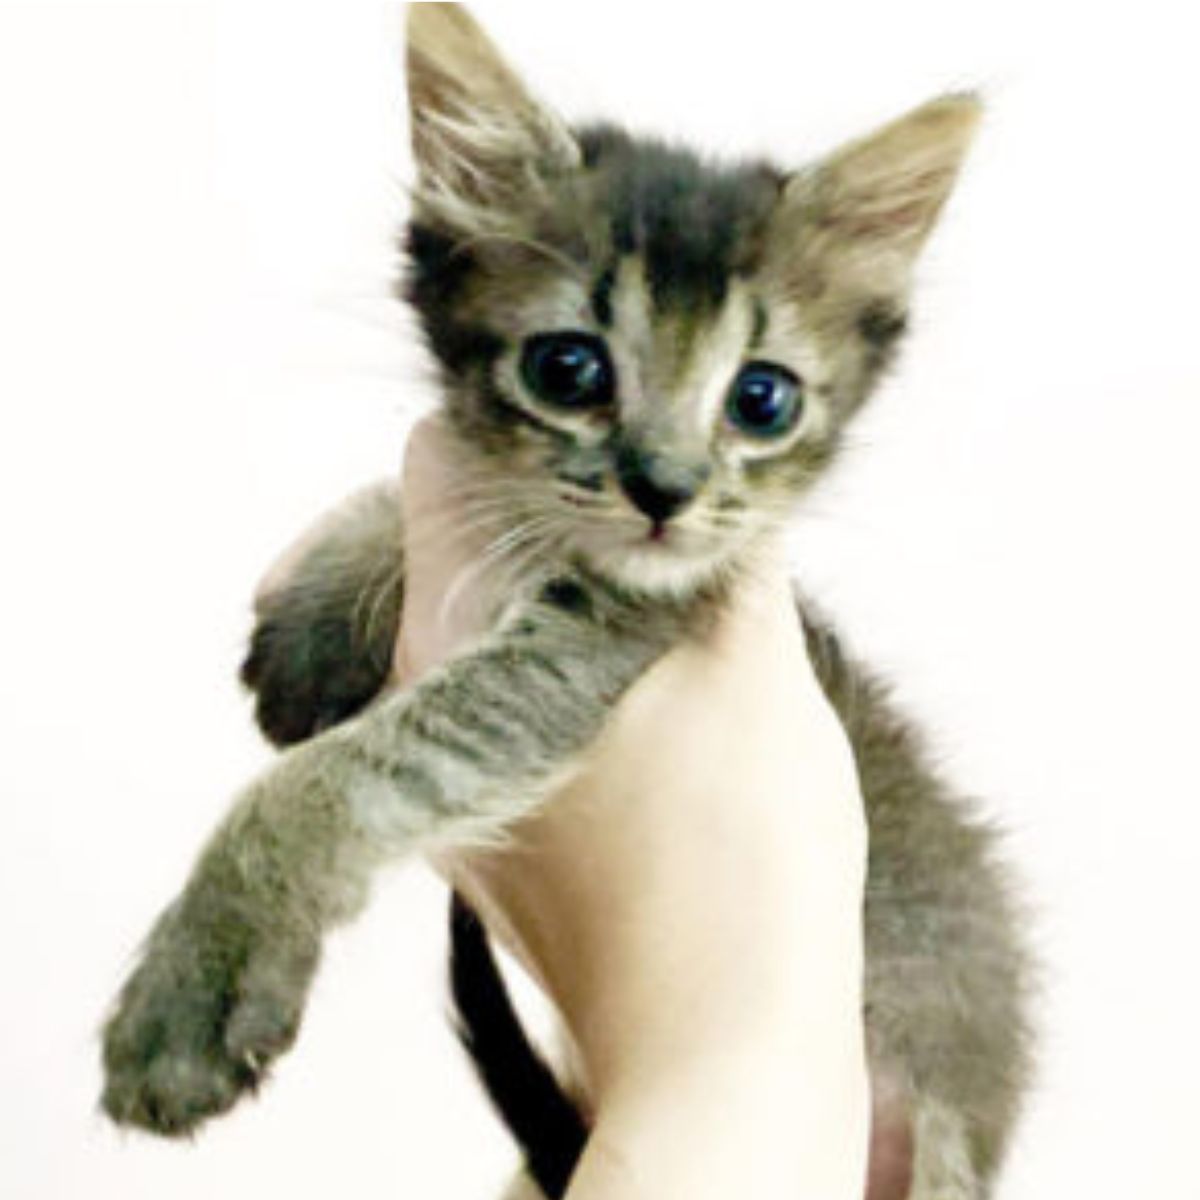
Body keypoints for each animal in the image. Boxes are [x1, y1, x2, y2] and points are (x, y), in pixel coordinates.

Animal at [100, 9, 1032, 1200]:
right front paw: (321, 608)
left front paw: (201, 975)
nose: (666, 489)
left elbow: (352, 771)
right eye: (569, 369)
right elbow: (423, 486)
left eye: (761, 398)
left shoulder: (606, 641)